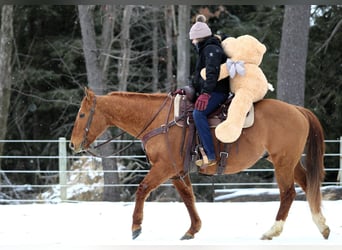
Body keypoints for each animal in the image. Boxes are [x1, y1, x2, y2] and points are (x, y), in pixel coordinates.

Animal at [68, 87, 330, 240]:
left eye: (81, 114)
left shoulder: (164, 168)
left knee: (288, 193)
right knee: (308, 186)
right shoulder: (177, 171)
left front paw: (136, 227)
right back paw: (322, 226)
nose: (72, 144)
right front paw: (193, 229)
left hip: (283, 163)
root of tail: (297, 110)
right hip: (291, 162)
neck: (161, 122)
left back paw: (272, 231)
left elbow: (142, 189)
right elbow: (188, 197)